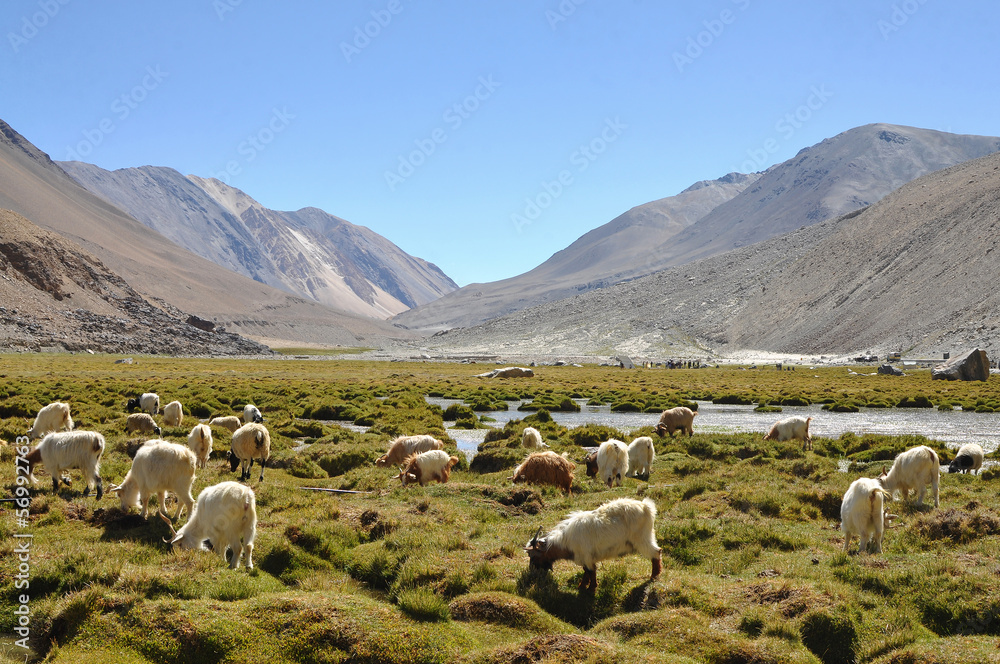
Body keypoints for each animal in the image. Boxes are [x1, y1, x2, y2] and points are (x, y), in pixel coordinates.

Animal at [524, 497, 661, 591]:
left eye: (533, 555)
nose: (532, 570)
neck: (565, 540)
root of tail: (646, 507)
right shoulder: (584, 558)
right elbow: (586, 571)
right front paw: (582, 586)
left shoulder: (586, 556)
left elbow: (591, 572)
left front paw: (591, 588)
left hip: (642, 539)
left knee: (656, 552)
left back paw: (654, 577)